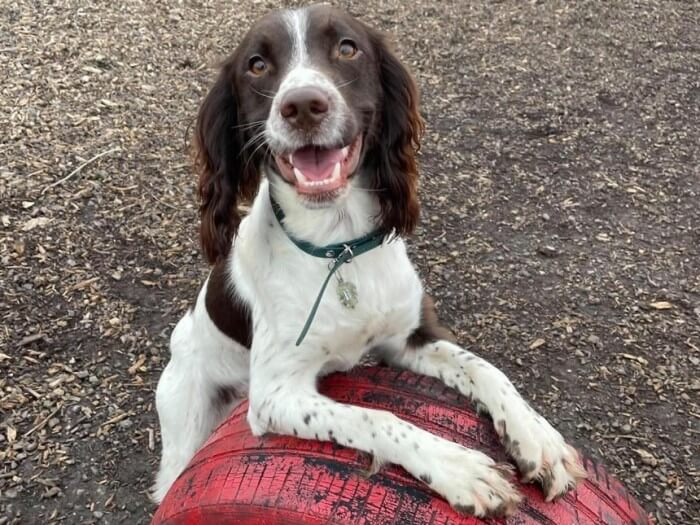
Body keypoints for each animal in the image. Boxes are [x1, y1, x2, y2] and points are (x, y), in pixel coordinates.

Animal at [153, 5, 584, 516]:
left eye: (347, 48)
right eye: (256, 65)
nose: (303, 105)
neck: (339, 249)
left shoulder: (410, 337)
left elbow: (487, 370)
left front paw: (539, 440)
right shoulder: (274, 395)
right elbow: (376, 417)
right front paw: (459, 467)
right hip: (188, 417)